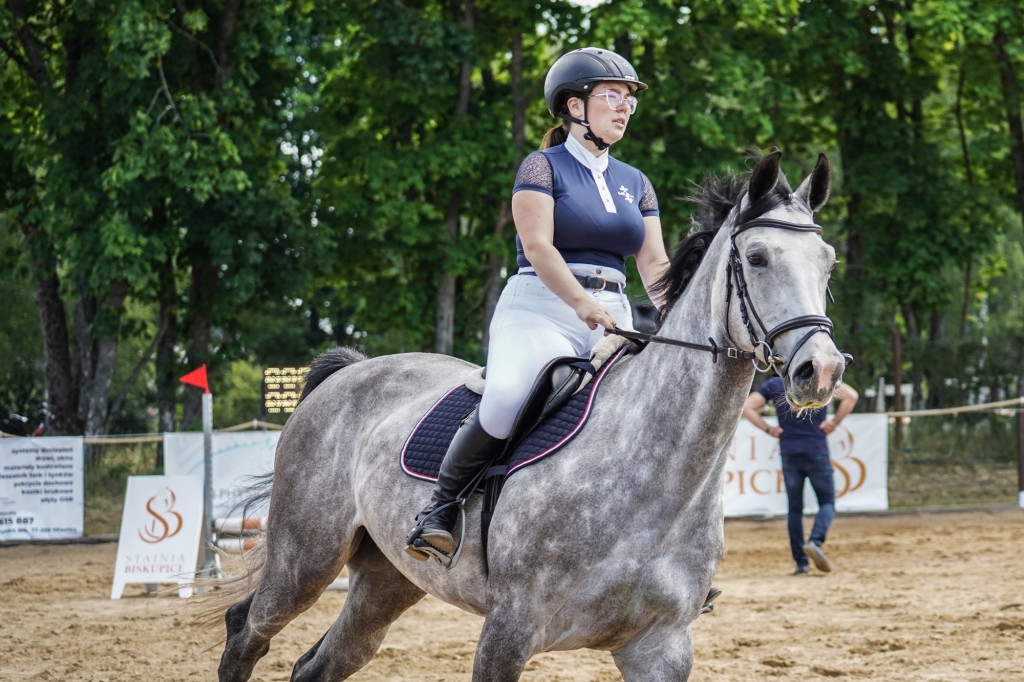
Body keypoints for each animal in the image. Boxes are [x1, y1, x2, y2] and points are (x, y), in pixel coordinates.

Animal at [205, 150, 847, 679]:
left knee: (320, 662)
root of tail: (348, 373)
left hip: (384, 582)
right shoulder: (508, 631)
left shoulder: (660, 649)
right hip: (305, 560)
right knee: (246, 630)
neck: (660, 483)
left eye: (829, 262)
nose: (819, 370)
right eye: (757, 257)